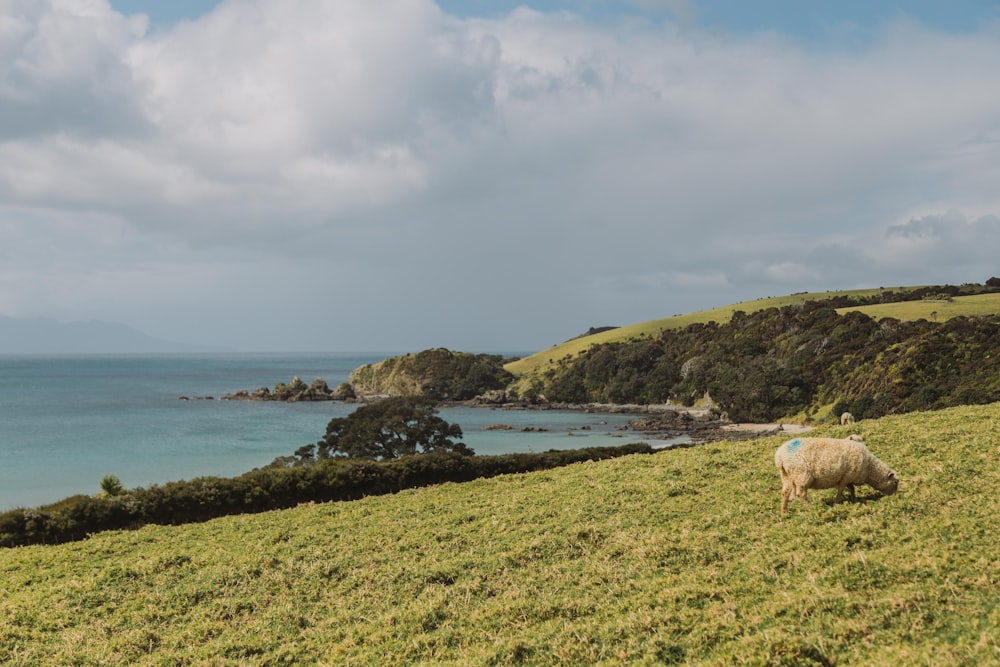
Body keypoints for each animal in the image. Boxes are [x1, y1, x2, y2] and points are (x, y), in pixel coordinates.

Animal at [772, 434, 900, 516]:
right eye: (895, 482)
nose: (895, 496)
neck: (870, 468)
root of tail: (780, 455)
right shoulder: (846, 477)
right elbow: (842, 490)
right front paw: (836, 503)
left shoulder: (848, 477)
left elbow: (851, 489)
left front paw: (854, 499)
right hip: (802, 475)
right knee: (801, 494)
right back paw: (812, 508)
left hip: (786, 476)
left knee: (785, 492)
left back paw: (784, 512)